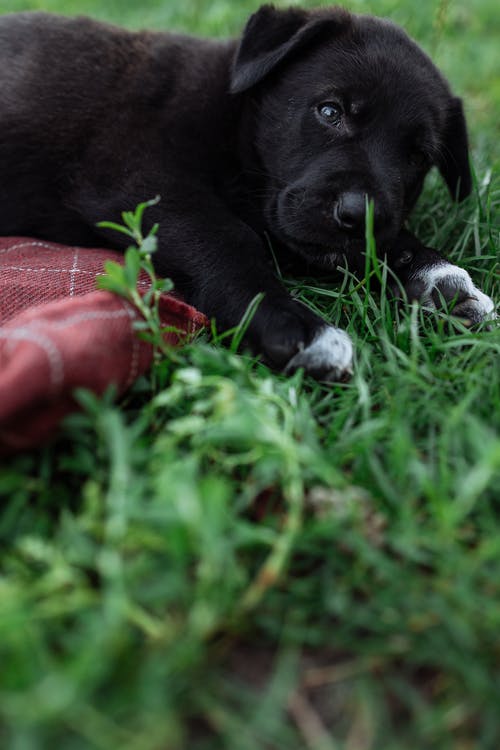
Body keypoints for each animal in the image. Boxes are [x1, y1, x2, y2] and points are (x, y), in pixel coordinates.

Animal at [0, 5, 494, 378]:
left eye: (416, 157)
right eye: (330, 111)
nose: (359, 216)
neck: (233, 115)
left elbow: (388, 242)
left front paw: (441, 277)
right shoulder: (141, 179)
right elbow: (227, 237)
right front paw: (296, 326)